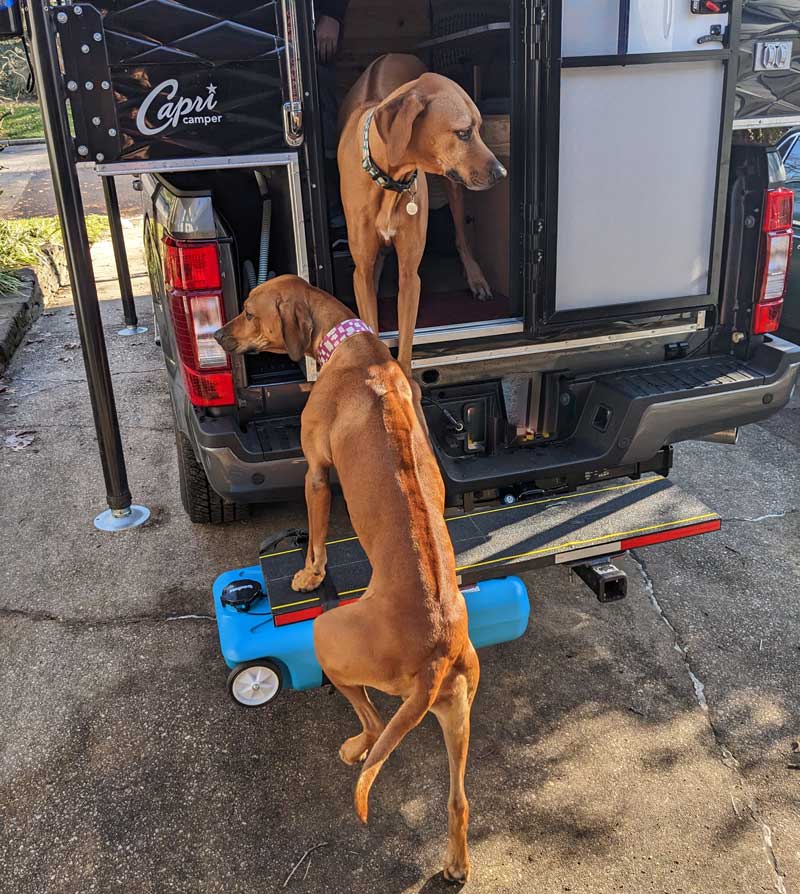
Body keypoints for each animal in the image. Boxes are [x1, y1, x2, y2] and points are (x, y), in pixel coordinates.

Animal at [214, 276, 482, 884]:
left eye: (249, 311)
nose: (216, 335)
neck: (349, 342)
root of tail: (436, 655)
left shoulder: (316, 474)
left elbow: (314, 534)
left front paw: (308, 573)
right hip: (459, 710)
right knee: (458, 801)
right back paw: (455, 863)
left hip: (329, 638)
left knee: (376, 720)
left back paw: (356, 746)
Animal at [338, 53, 506, 374]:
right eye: (463, 132)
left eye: (479, 128)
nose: (502, 173)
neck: (389, 178)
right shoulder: (360, 271)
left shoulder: (409, 276)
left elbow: (404, 348)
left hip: (454, 185)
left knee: (461, 235)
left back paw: (475, 277)